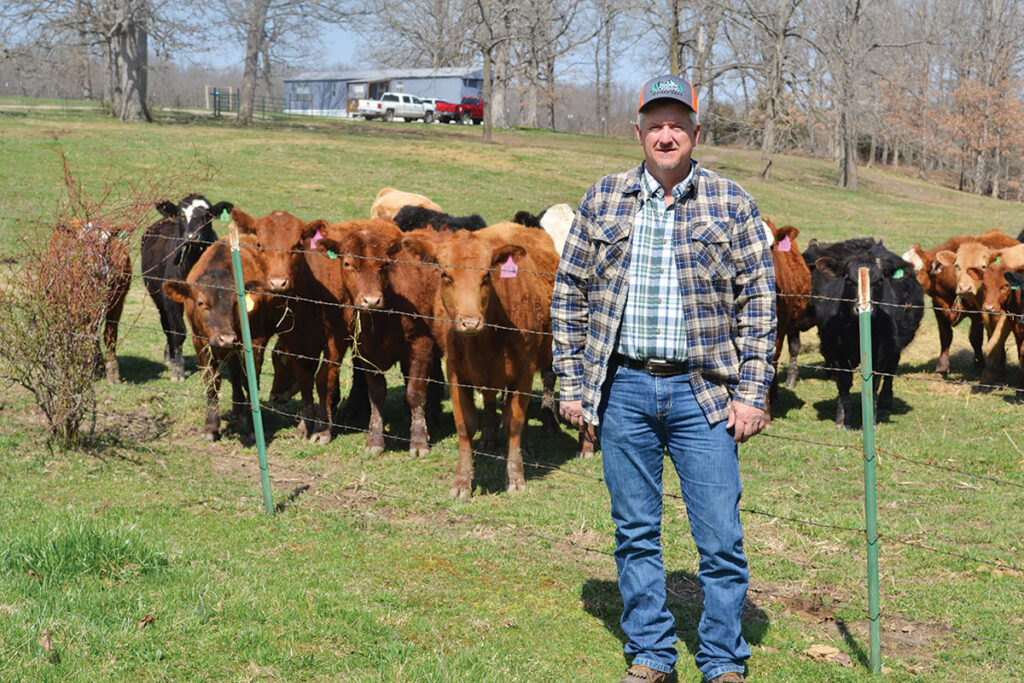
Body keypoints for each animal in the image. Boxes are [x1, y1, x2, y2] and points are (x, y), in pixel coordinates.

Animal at [141, 194, 233, 382]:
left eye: (206, 216)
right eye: (181, 215)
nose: (191, 236)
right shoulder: (170, 300)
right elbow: (178, 331)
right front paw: (178, 370)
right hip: (158, 298)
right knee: (167, 327)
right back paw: (170, 356)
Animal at [802, 239, 925, 428]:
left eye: (880, 280)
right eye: (848, 279)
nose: (861, 308)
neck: (854, 329)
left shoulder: (882, 351)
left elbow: (875, 381)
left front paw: (871, 417)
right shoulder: (834, 348)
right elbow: (844, 382)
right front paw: (843, 418)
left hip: (896, 347)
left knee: (890, 371)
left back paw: (885, 405)